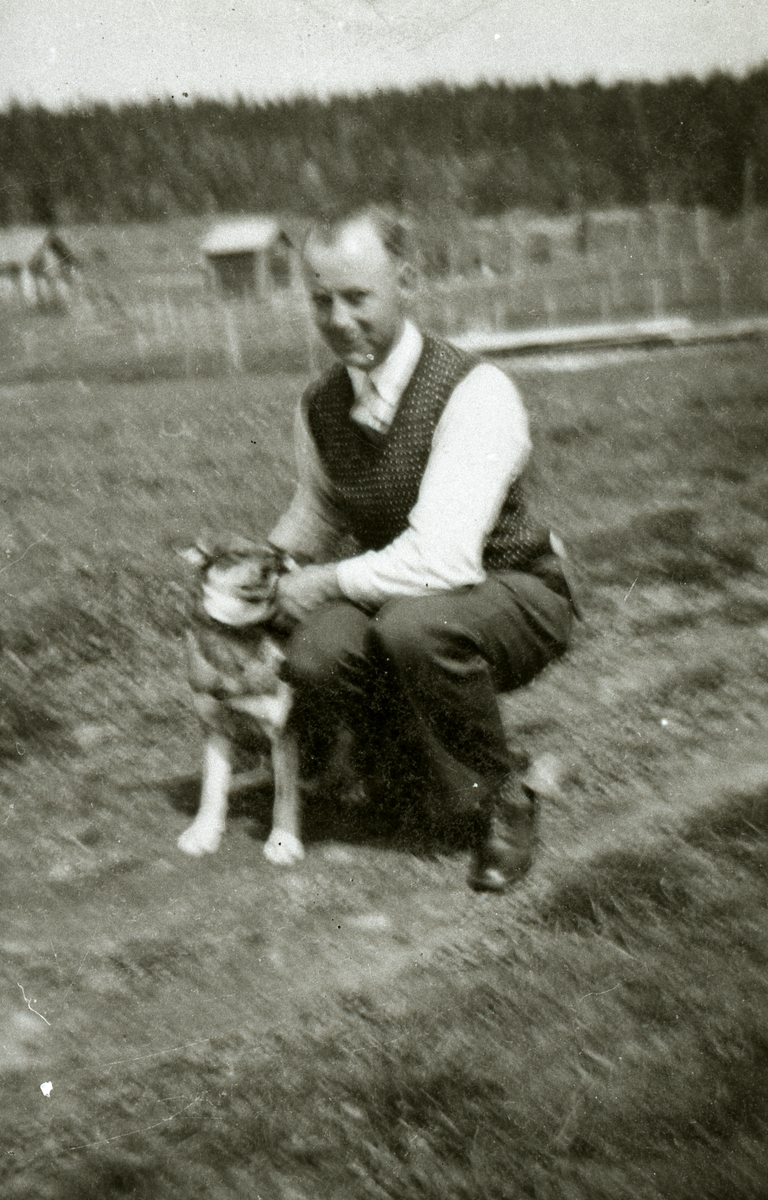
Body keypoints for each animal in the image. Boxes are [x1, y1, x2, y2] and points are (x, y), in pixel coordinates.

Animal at [175, 540, 304, 868]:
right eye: (234, 555)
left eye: (272, 556)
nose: (271, 568)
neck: (236, 634)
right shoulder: (215, 727)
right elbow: (212, 787)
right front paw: (204, 832)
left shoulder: (283, 731)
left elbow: (285, 794)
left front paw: (283, 842)